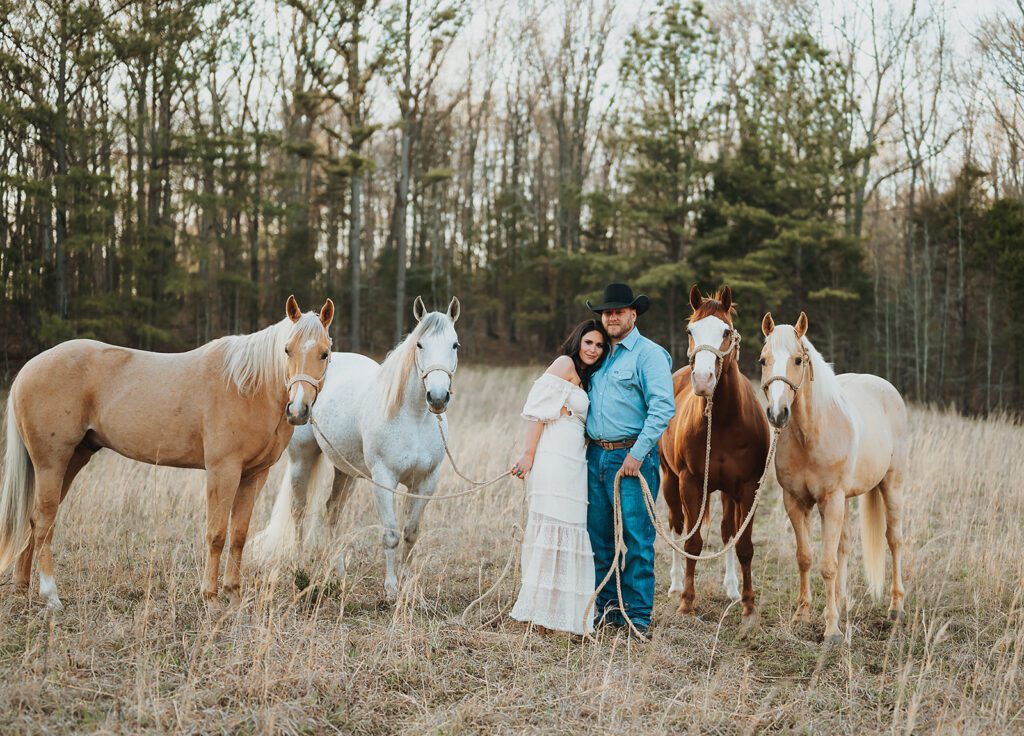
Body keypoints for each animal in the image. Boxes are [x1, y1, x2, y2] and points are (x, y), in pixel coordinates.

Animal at [0, 292, 333, 610]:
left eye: (325, 353)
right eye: (287, 350)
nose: (298, 409)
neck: (246, 386)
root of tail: (28, 369)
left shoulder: (253, 476)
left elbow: (238, 537)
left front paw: (235, 599)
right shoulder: (222, 471)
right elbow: (216, 535)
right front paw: (212, 600)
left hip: (72, 460)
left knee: (35, 521)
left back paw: (22, 589)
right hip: (51, 462)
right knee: (44, 521)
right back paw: (51, 596)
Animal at [247, 296, 460, 601]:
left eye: (455, 345)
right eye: (419, 344)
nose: (438, 397)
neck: (414, 416)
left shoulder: (426, 482)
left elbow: (411, 532)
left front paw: (408, 585)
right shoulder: (384, 479)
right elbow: (391, 534)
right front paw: (391, 590)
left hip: (346, 471)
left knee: (333, 511)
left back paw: (339, 572)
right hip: (302, 459)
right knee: (299, 511)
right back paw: (300, 568)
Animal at [659, 284, 770, 634]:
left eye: (726, 331)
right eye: (690, 331)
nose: (703, 379)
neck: (721, 421)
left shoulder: (747, 487)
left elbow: (743, 544)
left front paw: (748, 607)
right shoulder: (690, 482)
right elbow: (692, 543)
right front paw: (686, 603)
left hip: (727, 493)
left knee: (726, 532)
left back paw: (732, 588)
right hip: (669, 481)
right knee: (677, 527)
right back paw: (675, 584)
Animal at [757, 313, 909, 646]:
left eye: (798, 360)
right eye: (763, 360)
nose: (777, 414)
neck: (811, 434)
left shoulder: (831, 499)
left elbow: (827, 565)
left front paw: (832, 631)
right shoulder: (795, 501)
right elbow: (805, 557)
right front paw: (802, 616)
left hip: (890, 487)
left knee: (894, 540)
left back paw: (895, 607)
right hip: (846, 500)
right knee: (845, 546)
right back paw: (842, 602)